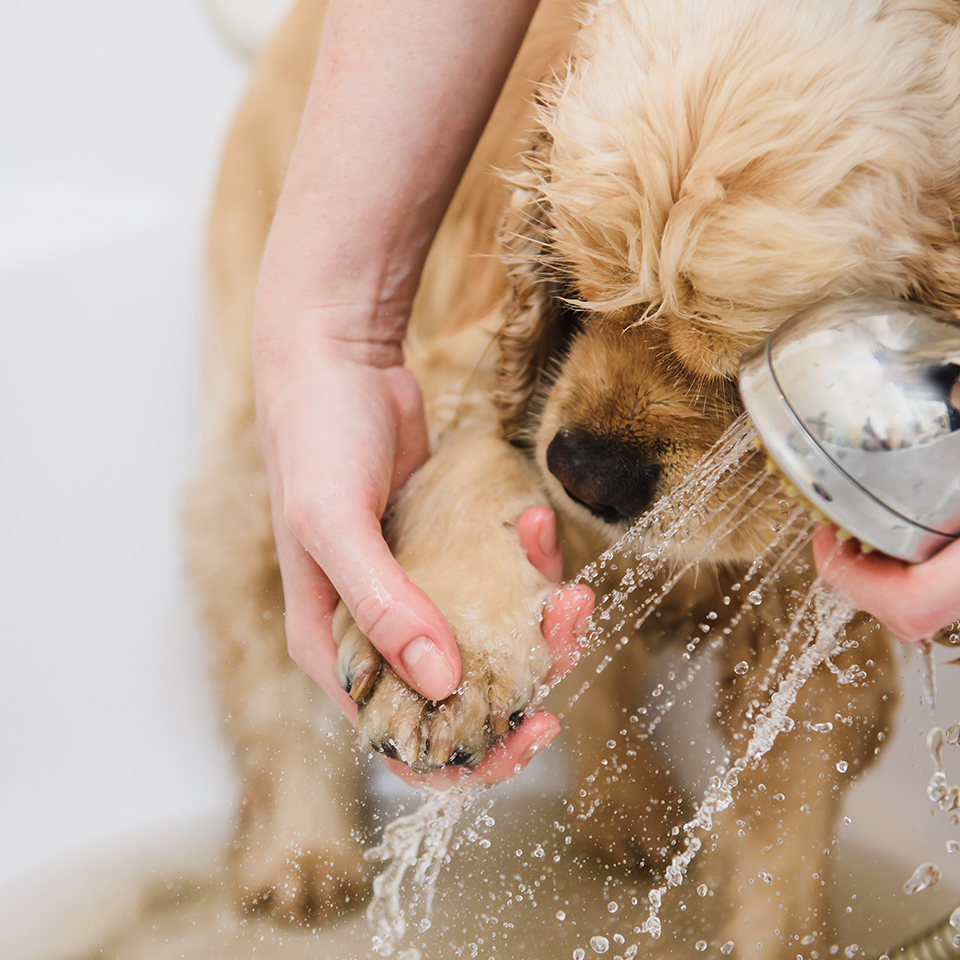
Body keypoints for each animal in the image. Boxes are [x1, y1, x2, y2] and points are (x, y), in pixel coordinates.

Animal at [184, 0, 960, 952]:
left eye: (749, 367)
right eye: (579, 285)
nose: (586, 474)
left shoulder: (810, 612)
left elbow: (784, 838)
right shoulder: (472, 370)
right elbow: (470, 472)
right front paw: (445, 673)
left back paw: (627, 812)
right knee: (268, 653)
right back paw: (302, 855)